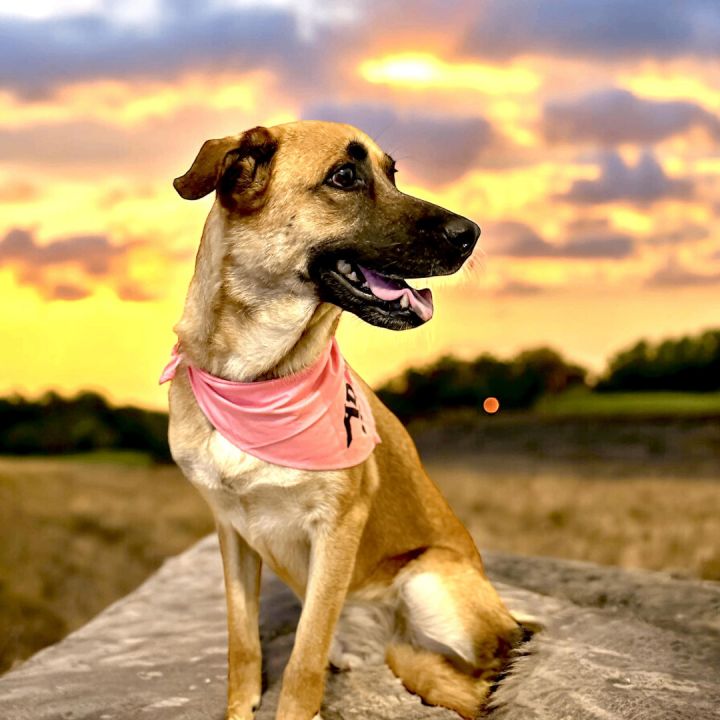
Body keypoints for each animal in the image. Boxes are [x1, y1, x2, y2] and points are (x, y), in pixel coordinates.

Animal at [166, 122, 520, 720]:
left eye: (392, 174)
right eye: (345, 177)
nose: (470, 233)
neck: (256, 381)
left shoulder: (337, 527)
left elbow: (303, 660)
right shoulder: (231, 528)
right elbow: (243, 643)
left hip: (426, 577)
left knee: (481, 677)